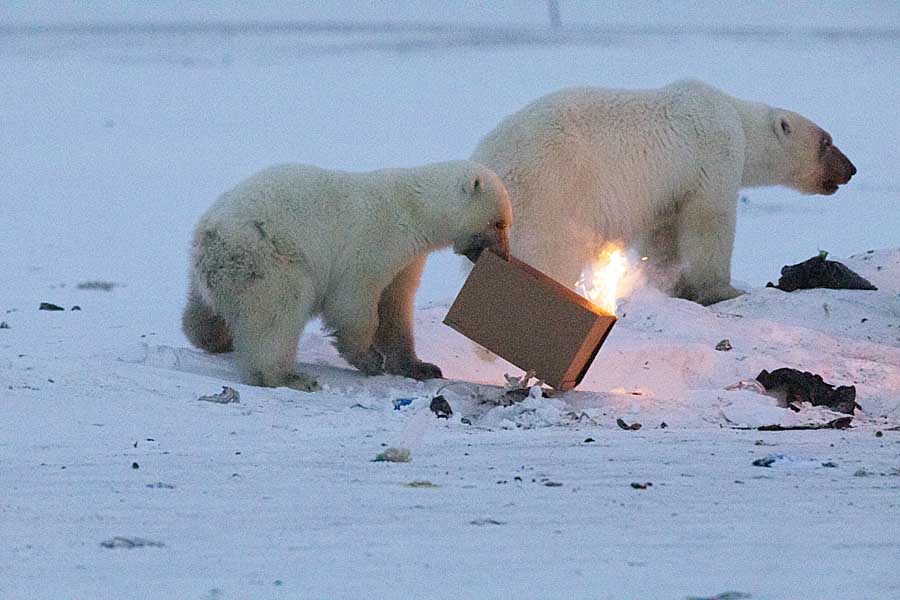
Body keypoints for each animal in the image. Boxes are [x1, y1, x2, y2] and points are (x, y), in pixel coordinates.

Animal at [181, 159, 512, 392]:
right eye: (498, 223)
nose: (506, 255)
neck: (414, 209)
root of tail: (210, 233)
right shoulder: (376, 240)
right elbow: (354, 302)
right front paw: (369, 359)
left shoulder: (406, 259)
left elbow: (395, 307)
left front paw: (421, 367)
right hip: (271, 258)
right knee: (277, 314)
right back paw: (289, 376)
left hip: (224, 268)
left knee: (203, 309)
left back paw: (214, 338)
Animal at [472, 78, 856, 304]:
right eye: (826, 142)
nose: (851, 169)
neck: (737, 119)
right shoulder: (712, 154)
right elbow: (709, 222)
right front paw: (723, 290)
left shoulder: (668, 187)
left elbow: (663, 232)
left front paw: (667, 284)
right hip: (550, 199)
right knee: (552, 254)